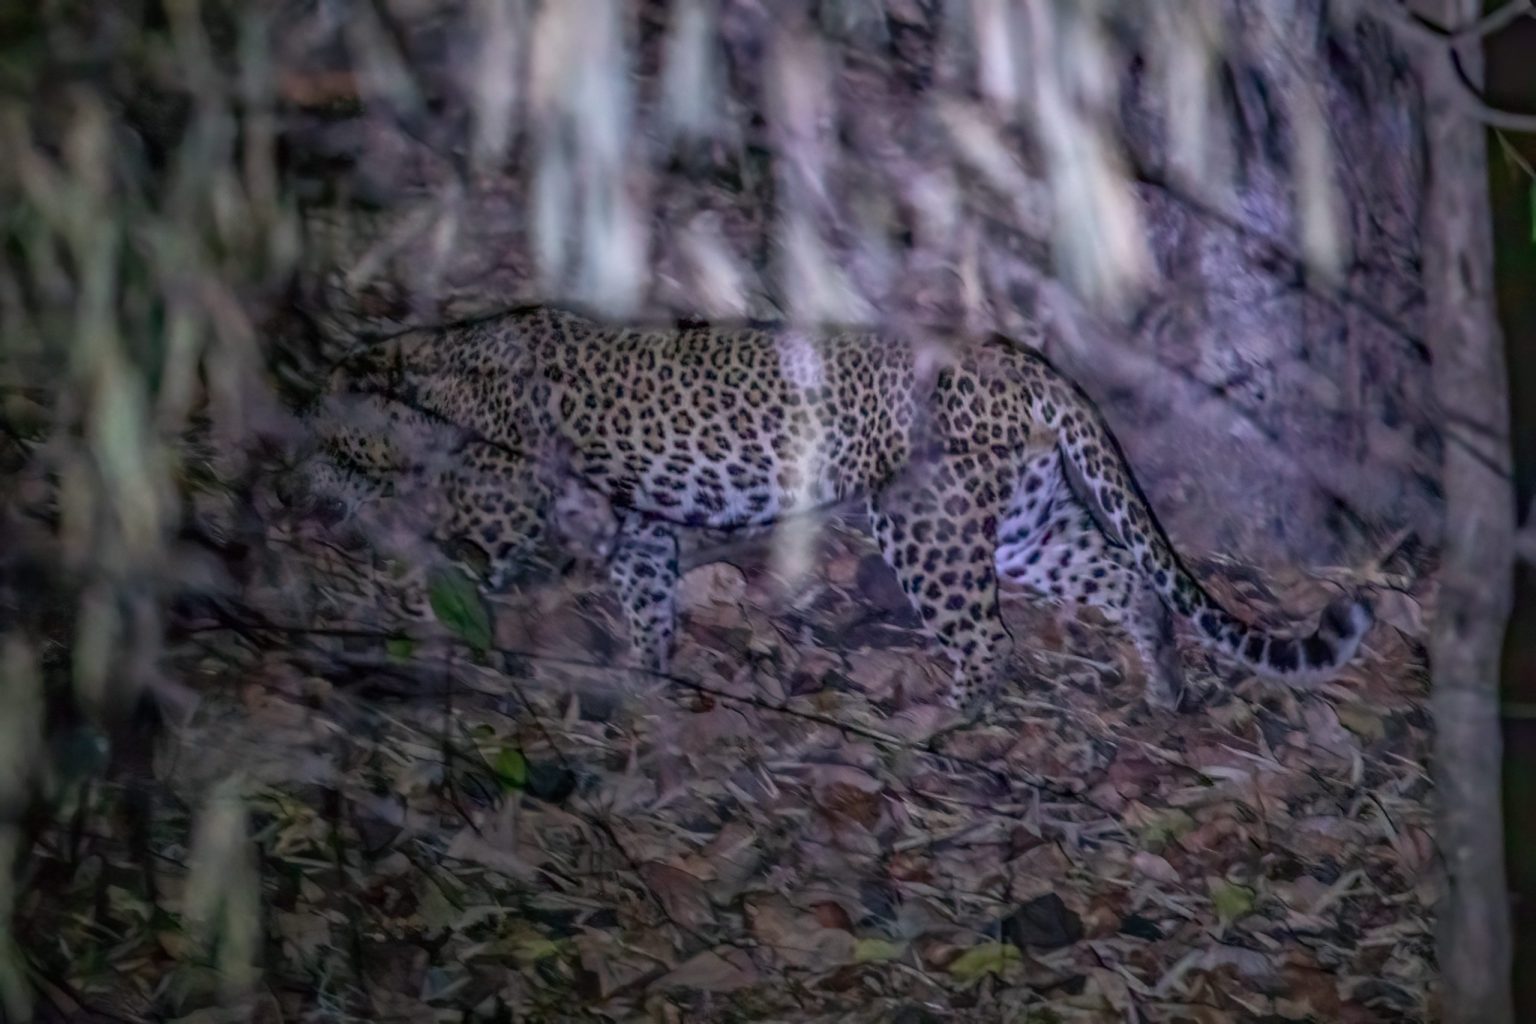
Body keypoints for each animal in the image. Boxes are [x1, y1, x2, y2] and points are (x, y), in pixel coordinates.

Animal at [309, 303, 1374, 712]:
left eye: (328, 441)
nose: (299, 487)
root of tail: (1016, 359)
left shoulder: (520, 495)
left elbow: (485, 559)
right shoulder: (639, 524)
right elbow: (646, 600)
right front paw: (645, 684)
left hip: (927, 526)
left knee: (987, 643)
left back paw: (942, 728)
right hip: (1025, 524)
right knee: (1126, 579)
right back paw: (1163, 688)